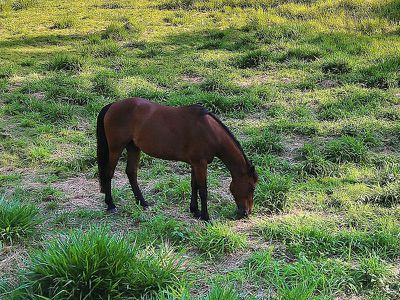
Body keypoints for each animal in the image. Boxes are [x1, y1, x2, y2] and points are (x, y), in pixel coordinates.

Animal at [97, 98, 260, 220]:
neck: (210, 132)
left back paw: (142, 202)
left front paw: (195, 211)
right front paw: (206, 216)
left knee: (131, 173)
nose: (246, 213)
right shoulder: (200, 164)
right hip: (116, 148)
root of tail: (113, 105)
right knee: (109, 174)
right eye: (252, 187)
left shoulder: (195, 163)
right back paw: (111, 205)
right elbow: (203, 190)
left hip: (133, 148)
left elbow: (194, 186)